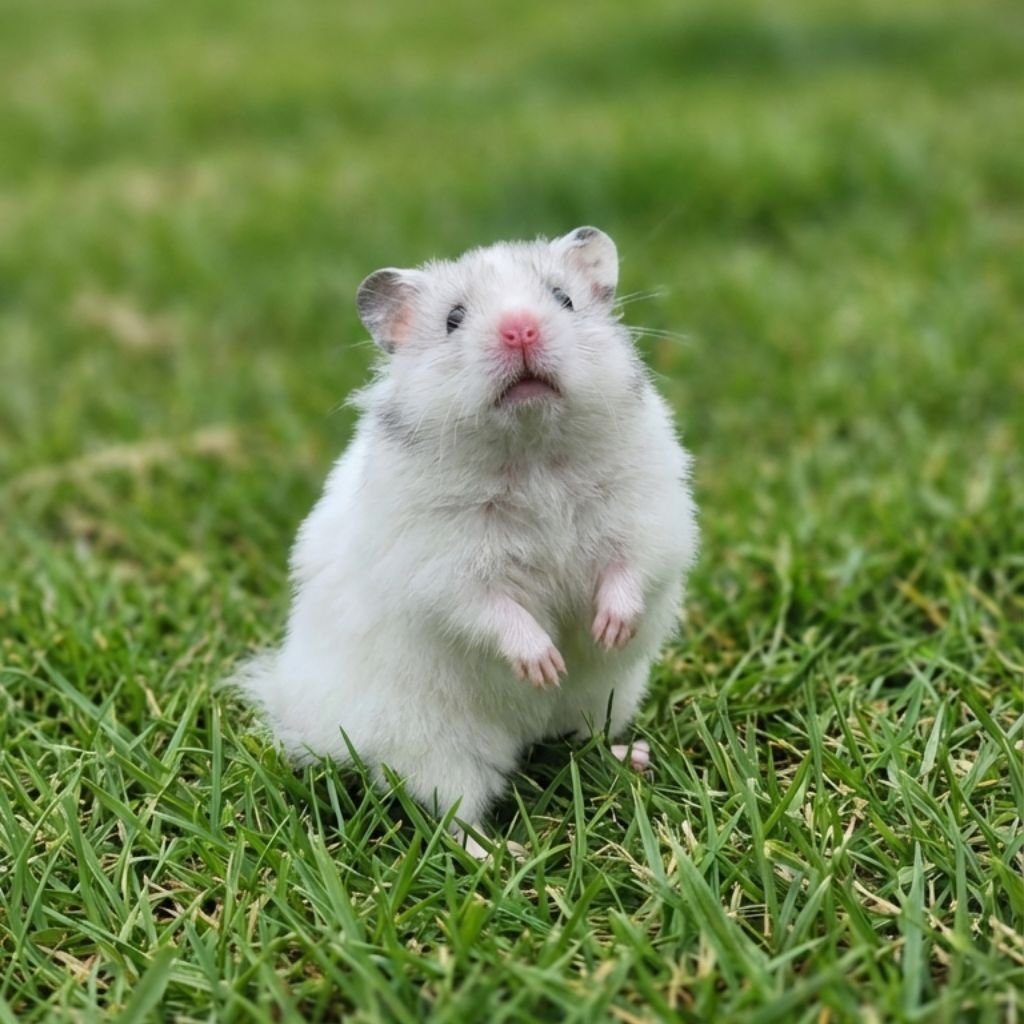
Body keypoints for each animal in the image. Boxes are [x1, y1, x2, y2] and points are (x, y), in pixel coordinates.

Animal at [235, 227, 699, 856]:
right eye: (454, 319)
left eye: (563, 298)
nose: (520, 328)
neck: (531, 451)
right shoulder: (441, 563)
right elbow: (492, 609)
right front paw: (544, 663)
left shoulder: (648, 513)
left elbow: (629, 569)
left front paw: (607, 631)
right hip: (437, 748)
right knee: (451, 817)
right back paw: (506, 854)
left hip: (610, 695)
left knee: (579, 737)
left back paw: (634, 756)